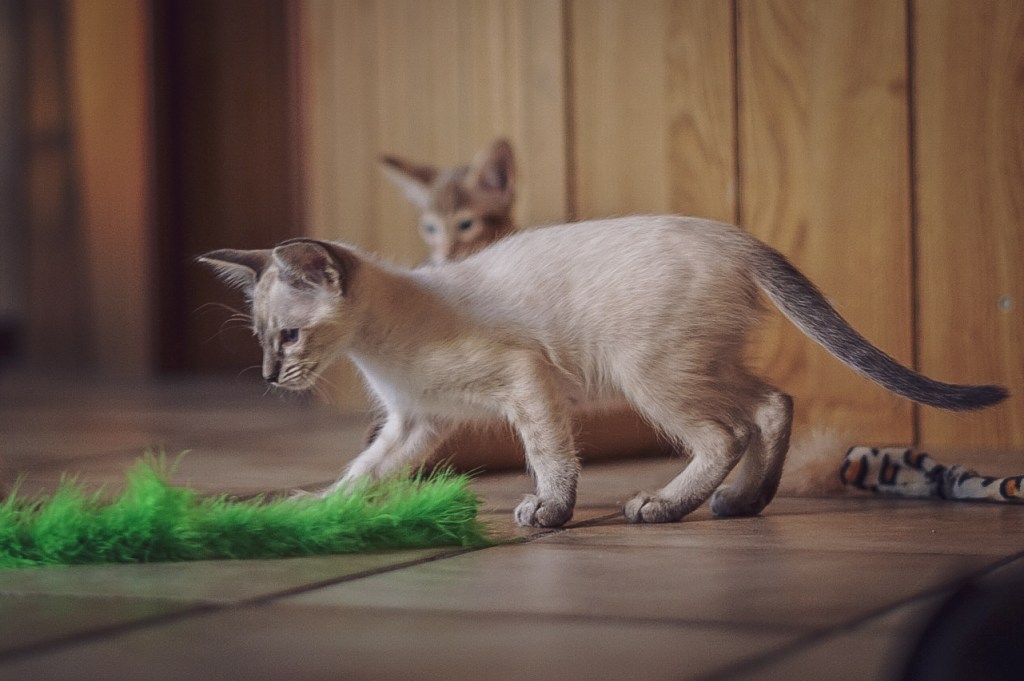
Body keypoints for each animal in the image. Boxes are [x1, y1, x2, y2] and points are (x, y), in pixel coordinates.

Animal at [199, 216, 1007, 527]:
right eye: (263, 341)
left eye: (291, 337)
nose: (270, 377)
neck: (380, 343)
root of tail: (733, 234)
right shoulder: (413, 423)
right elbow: (362, 472)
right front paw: (317, 508)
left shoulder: (524, 378)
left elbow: (549, 455)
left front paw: (549, 511)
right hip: (696, 364)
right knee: (772, 403)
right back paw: (741, 502)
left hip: (649, 372)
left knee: (724, 432)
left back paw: (665, 504)